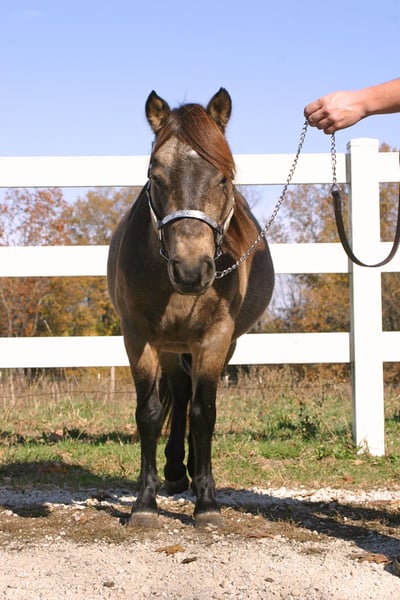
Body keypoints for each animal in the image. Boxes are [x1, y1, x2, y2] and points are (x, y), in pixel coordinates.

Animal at [107, 88, 274, 528]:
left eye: (223, 177)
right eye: (155, 175)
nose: (191, 270)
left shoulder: (215, 339)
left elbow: (205, 413)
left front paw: (208, 502)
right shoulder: (139, 337)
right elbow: (149, 413)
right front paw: (145, 503)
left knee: (193, 398)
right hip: (169, 345)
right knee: (180, 393)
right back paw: (174, 472)